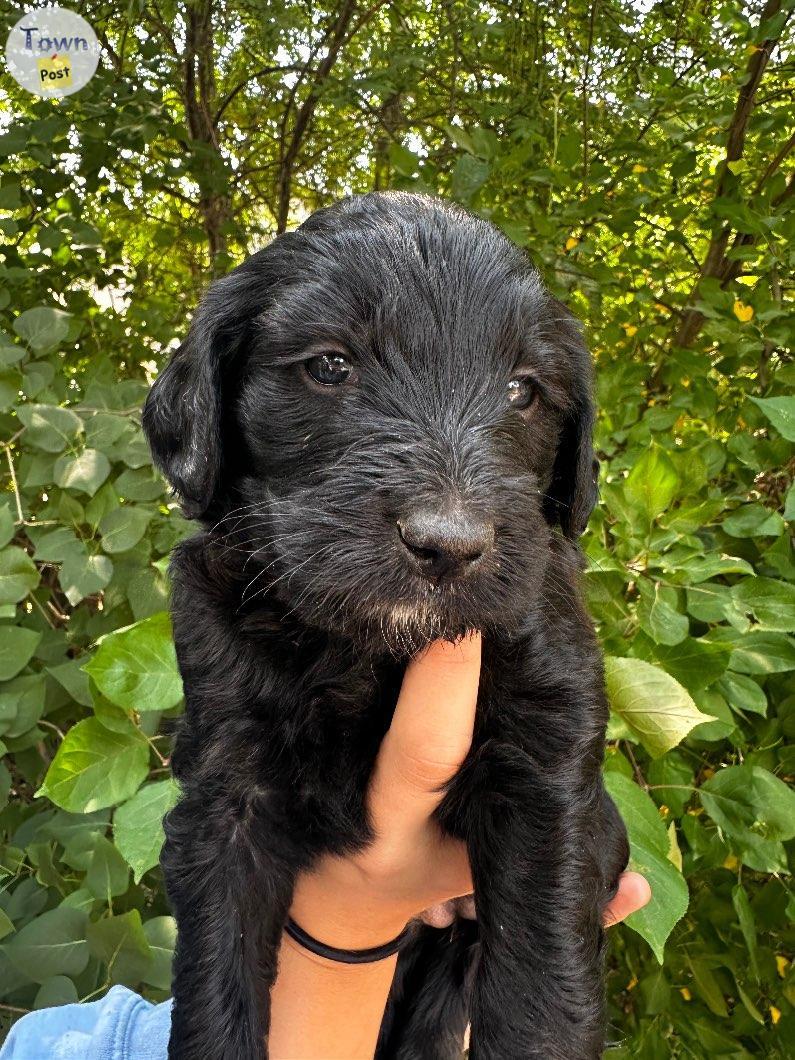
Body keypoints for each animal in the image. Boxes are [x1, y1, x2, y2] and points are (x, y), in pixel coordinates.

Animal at [142, 192, 627, 1060]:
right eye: (330, 366)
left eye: (522, 390)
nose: (447, 544)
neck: (368, 652)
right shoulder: (227, 792)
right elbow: (215, 980)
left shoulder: (550, 769)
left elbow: (540, 995)